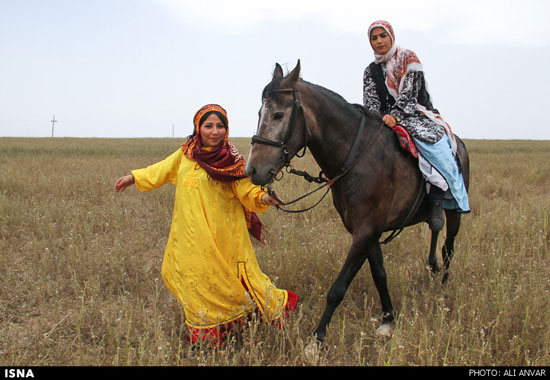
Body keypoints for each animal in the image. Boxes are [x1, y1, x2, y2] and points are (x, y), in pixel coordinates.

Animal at [248, 61, 472, 342]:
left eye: (278, 114)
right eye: (259, 113)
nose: (253, 169)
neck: (357, 158)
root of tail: (459, 144)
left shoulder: (364, 232)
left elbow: (338, 288)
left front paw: (317, 339)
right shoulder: (369, 232)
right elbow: (380, 275)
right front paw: (388, 319)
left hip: (456, 213)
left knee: (448, 247)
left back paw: (442, 289)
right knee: (436, 233)